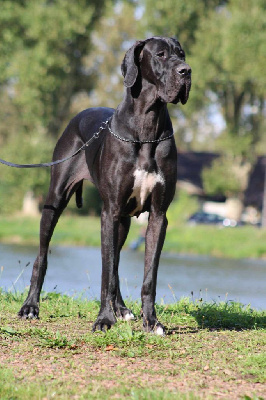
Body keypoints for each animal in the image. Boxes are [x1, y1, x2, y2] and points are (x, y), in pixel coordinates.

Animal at [18, 36, 191, 334]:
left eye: (181, 54)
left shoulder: (158, 215)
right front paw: (104, 319)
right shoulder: (108, 212)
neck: (147, 126)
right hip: (55, 201)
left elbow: (148, 275)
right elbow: (105, 271)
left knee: (117, 265)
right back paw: (31, 307)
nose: (186, 71)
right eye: (160, 55)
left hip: (123, 220)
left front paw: (151, 321)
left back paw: (122, 309)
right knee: (43, 256)